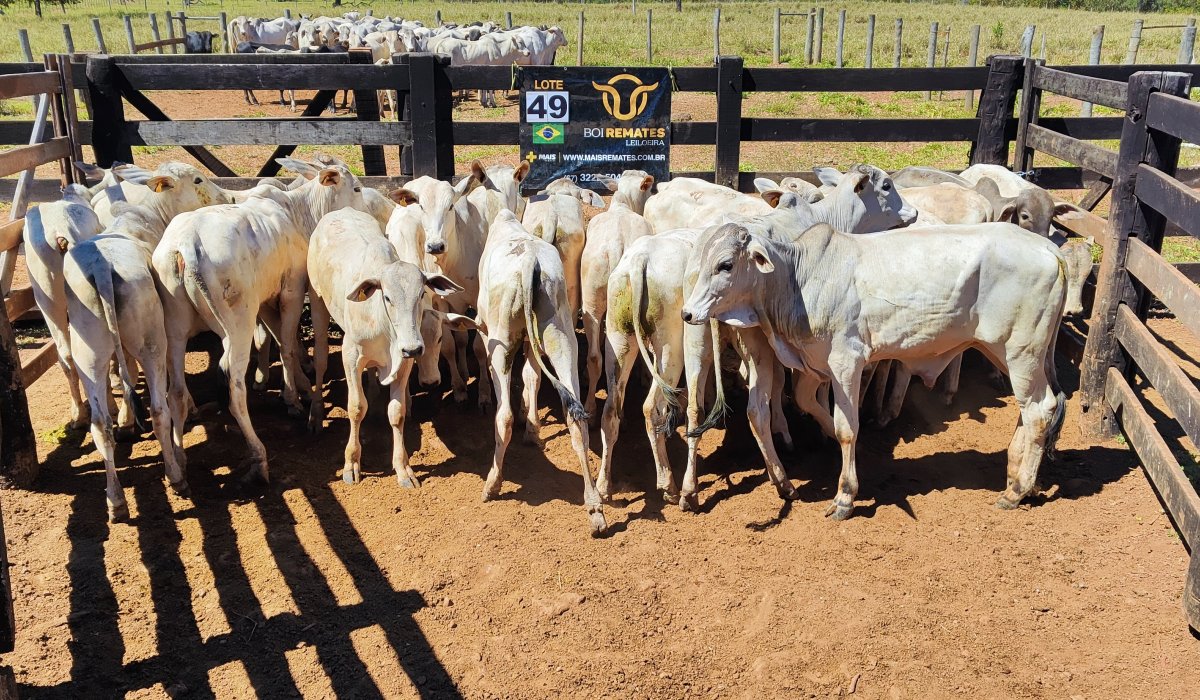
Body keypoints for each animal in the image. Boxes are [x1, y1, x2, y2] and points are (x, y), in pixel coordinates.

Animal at [152, 158, 366, 484]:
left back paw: (178, 466)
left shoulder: (265, 300)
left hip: (174, 329)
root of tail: (185, 246)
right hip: (237, 323)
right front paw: (293, 398)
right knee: (234, 386)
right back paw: (258, 456)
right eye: (355, 188)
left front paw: (299, 386)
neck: (297, 212)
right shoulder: (292, 289)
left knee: (175, 391)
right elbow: (287, 344)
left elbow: (273, 338)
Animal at [306, 208, 470, 485]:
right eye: (387, 297)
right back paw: (316, 414)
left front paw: (403, 468)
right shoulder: (351, 356)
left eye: (421, 294)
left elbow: (397, 411)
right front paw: (351, 463)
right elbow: (356, 407)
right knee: (320, 358)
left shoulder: (402, 361)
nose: (414, 348)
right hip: (317, 301)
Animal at [476, 210, 606, 536]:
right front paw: (533, 428)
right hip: (561, 336)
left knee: (504, 417)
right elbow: (532, 377)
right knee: (576, 417)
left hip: (502, 340)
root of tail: (529, 263)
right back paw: (595, 509)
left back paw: (492, 483)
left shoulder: (485, 329)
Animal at [681, 221, 1068, 519]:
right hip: (1005, 352)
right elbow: (810, 406)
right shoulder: (813, 367)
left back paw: (1016, 491)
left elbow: (846, 428)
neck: (799, 279)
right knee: (1031, 410)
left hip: (1021, 351)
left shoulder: (846, 362)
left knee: (1039, 411)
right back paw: (1017, 475)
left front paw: (844, 497)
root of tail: (1051, 249)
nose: (687, 313)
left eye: (726, 264)